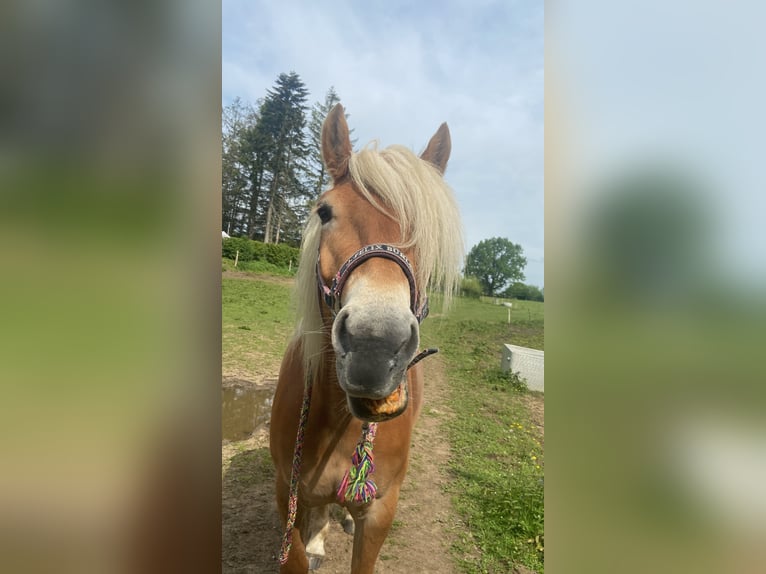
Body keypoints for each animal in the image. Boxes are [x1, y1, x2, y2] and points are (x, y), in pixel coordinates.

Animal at [270, 104, 462, 574]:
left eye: (428, 231)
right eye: (324, 212)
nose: (374, 346)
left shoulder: (380, 511)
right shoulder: (287, 494)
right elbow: (296, 556)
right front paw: (313, 545)